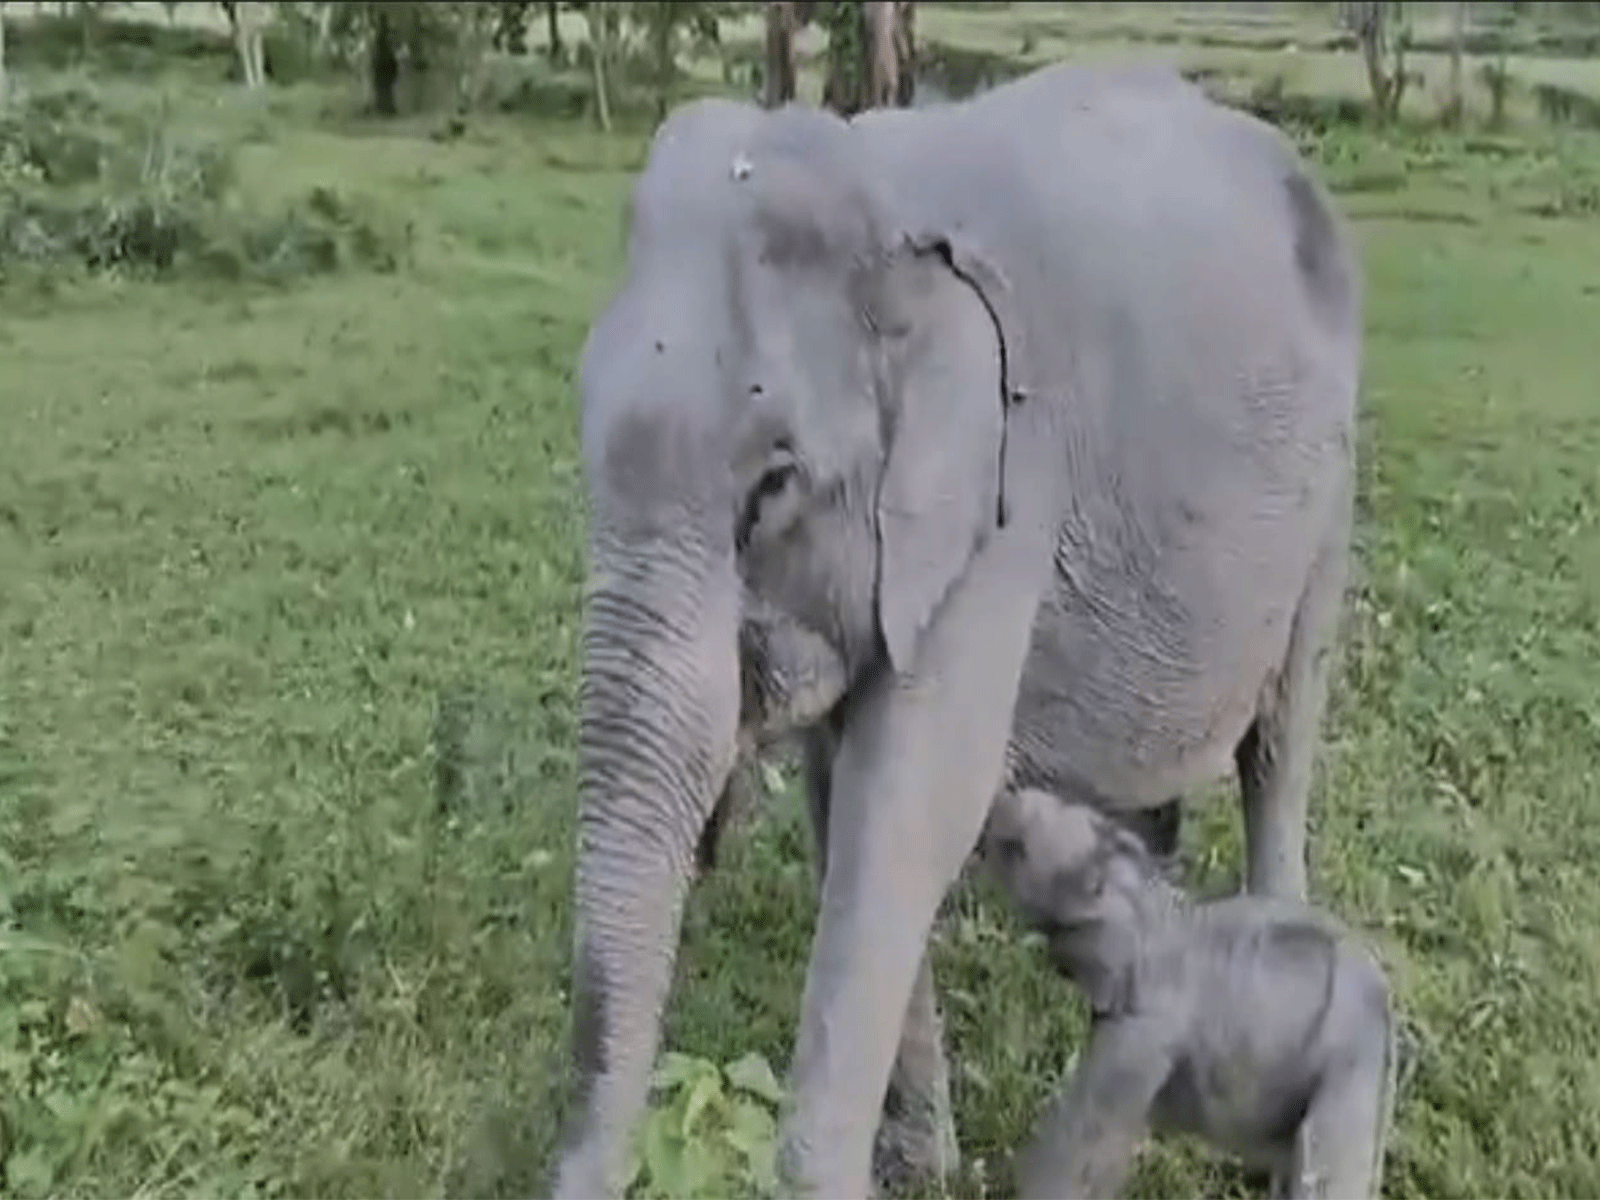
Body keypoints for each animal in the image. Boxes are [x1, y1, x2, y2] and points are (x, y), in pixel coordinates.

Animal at [552, 61, 1362, 1199]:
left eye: (773, 484)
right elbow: (842, 803)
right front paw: (919, 1165)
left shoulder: (1008, 491)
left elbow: (910, 803)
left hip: (1333, 491)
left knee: (1283, 739)